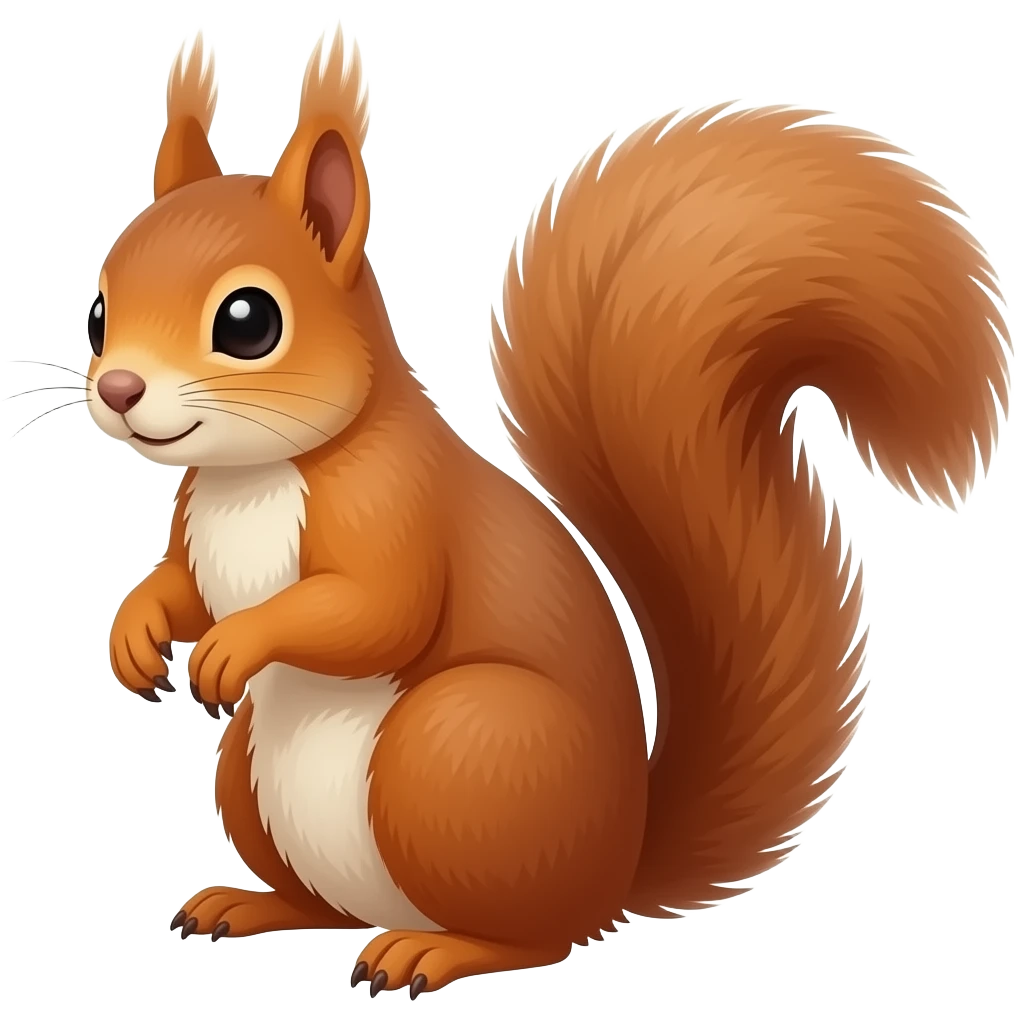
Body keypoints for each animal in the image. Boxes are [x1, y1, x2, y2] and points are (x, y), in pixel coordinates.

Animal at [91, 19, 1011, 998]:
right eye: (98, 313)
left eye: (248, 322)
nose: (117, 389)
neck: (253, 475)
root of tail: (618, 867)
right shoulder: (199, 530)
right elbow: (181, 587)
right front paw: (134, 633)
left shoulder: (396, 507)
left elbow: (378, 611)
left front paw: (237, 645)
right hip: (255, 776)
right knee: (328, 906)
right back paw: (251, 904)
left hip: (461, 748)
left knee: (537, 937)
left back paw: (433, 951)